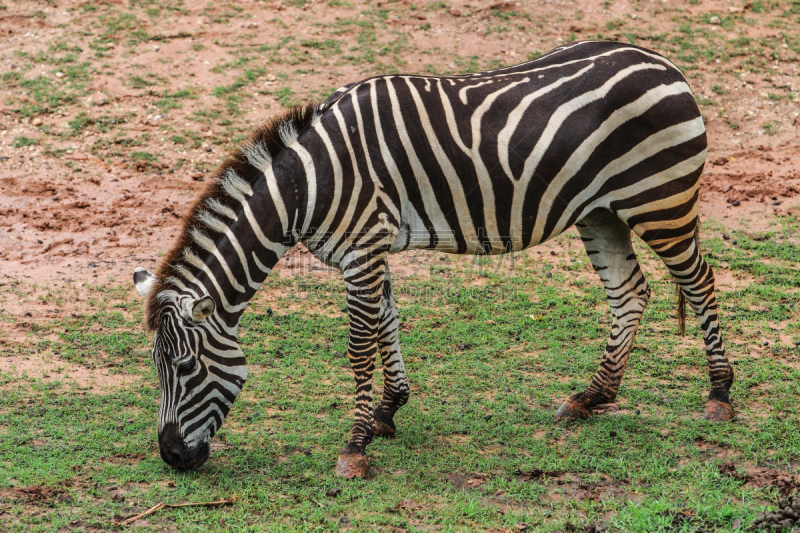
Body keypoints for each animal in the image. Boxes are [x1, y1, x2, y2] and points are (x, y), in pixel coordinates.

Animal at [133, 39, 736, 476]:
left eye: (185, 369)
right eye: (158, 370)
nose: (172, 458)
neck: (307, 184)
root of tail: (665, 63)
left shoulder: (361, 250)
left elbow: (360, 347)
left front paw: (354, 448)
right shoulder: (370, 250)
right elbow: (387, 325)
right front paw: (388, 412)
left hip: (660, 200)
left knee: (700, 280)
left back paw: (720, 394)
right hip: (602, 211)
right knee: (630, 292)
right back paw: (592, 397)